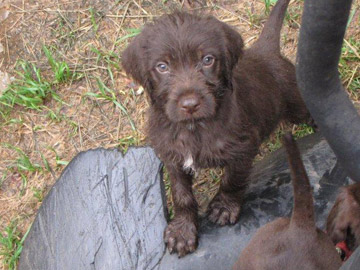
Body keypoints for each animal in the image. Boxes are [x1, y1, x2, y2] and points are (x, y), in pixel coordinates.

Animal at [121, 0, 310, 256]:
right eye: (162, 66)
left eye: (207, 60)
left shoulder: (242, 148)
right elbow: (181, 195)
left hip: (297, 105)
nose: (190, 104)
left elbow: (232, 180)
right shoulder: (173, 156)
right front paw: (182, 230)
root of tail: (266, 51)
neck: (194, 128)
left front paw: (224, 207)